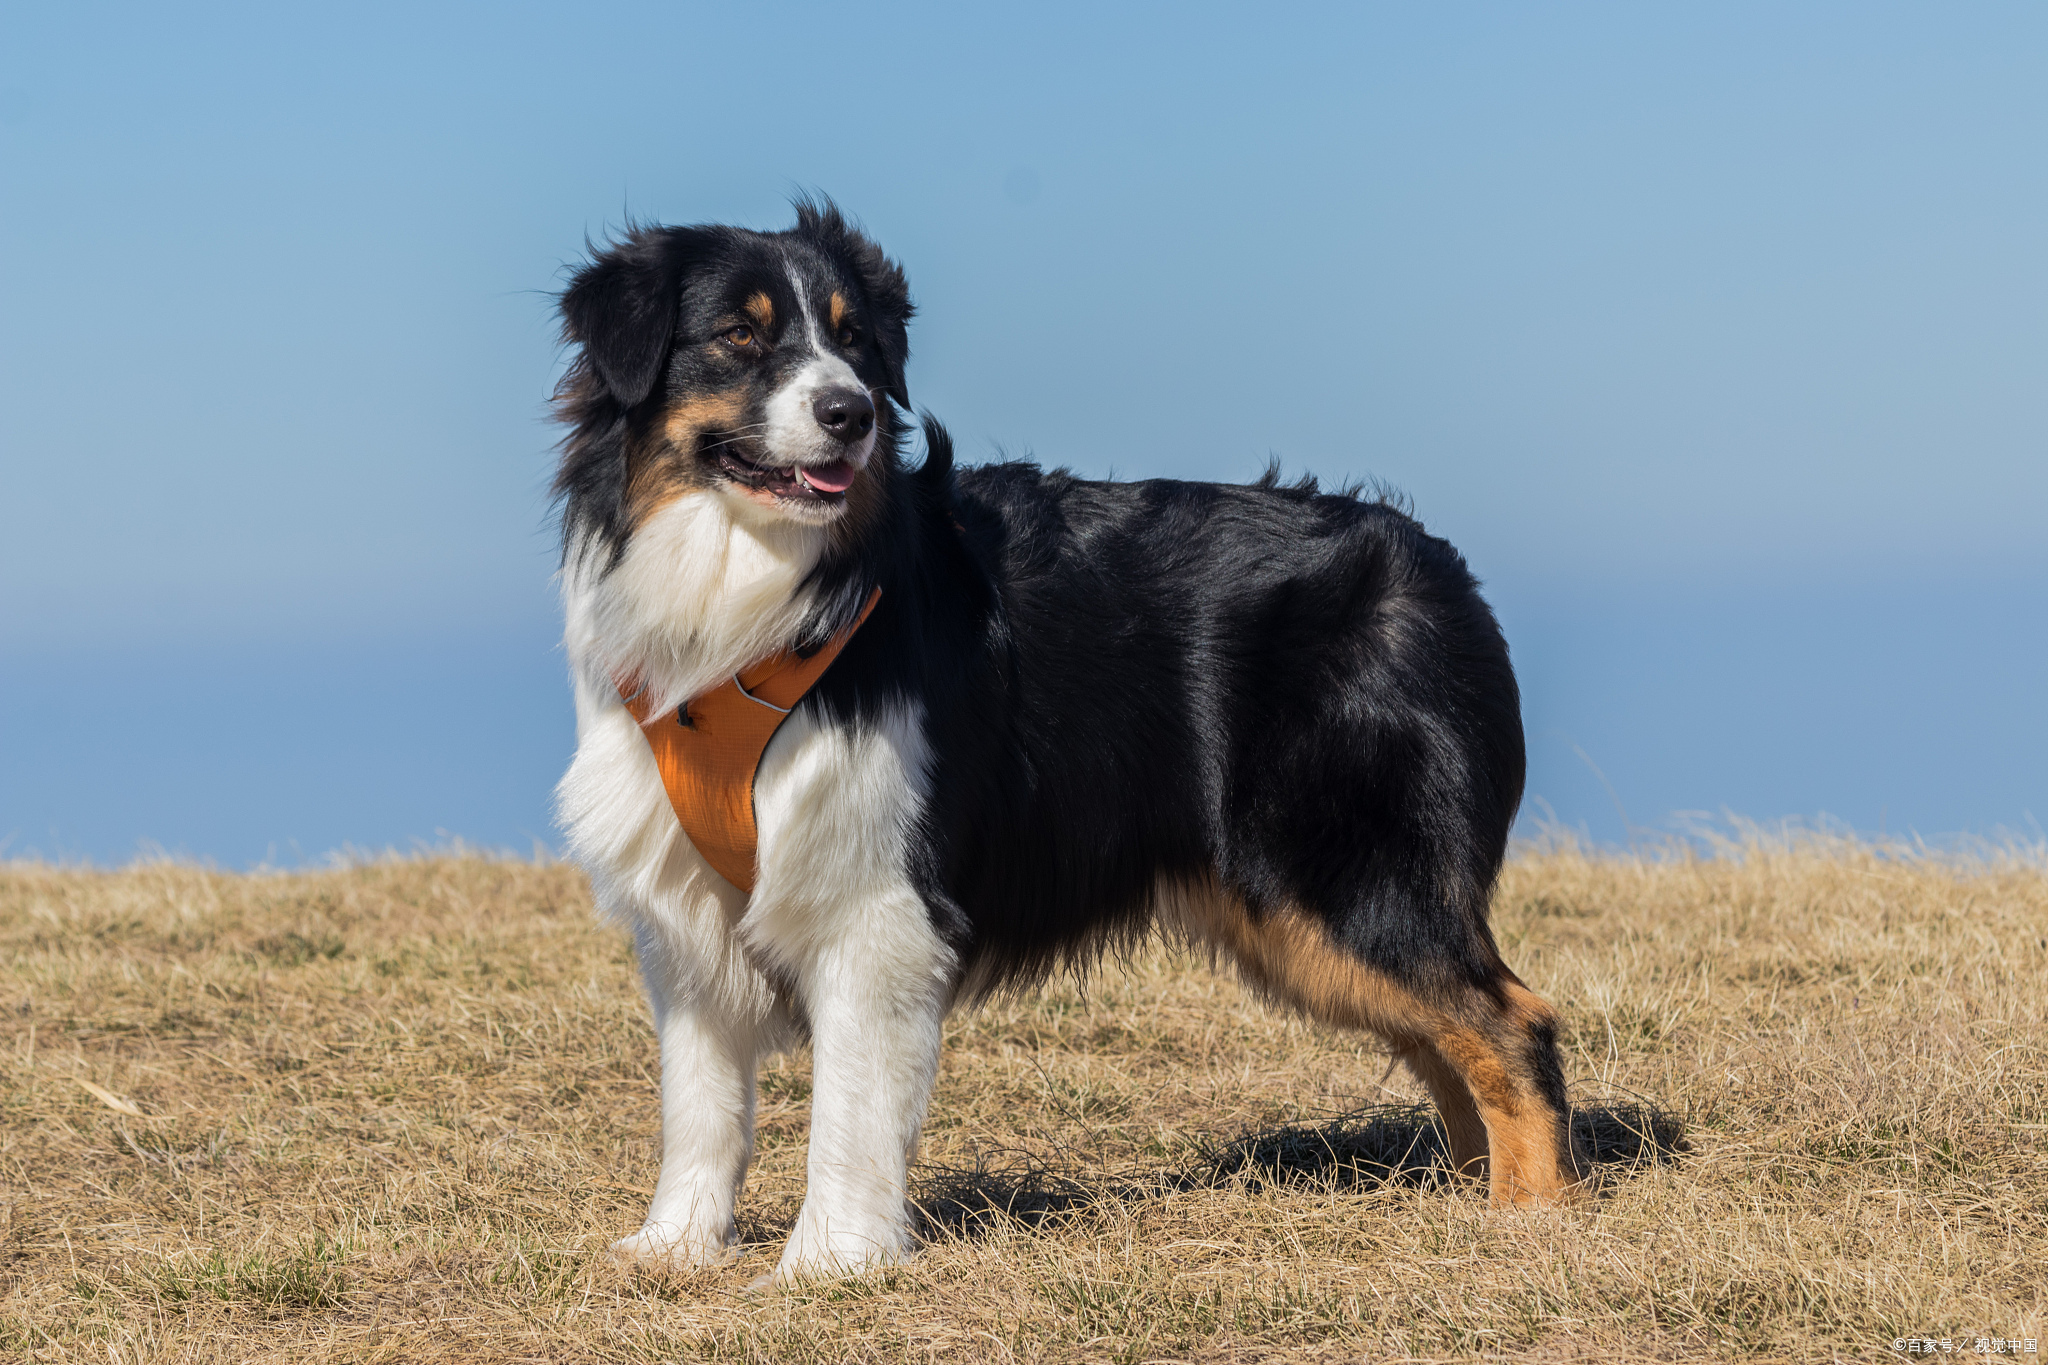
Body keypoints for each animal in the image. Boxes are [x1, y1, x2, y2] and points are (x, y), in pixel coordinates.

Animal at [548, 200, 1581, 1285]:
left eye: (854, 340)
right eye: (738, 336)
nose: (850, 413)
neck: (755, 600)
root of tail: (1443, 567)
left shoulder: (877, 903)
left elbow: (849, 1110)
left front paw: (828, 1265)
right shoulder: (682, 912)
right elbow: (700, 1102)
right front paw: (674, 1246)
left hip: (1341, 878)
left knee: (1513, 1026)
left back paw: (1529, 1223)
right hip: (1300, 917)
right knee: (1448, 1042)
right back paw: (1464, 1207)